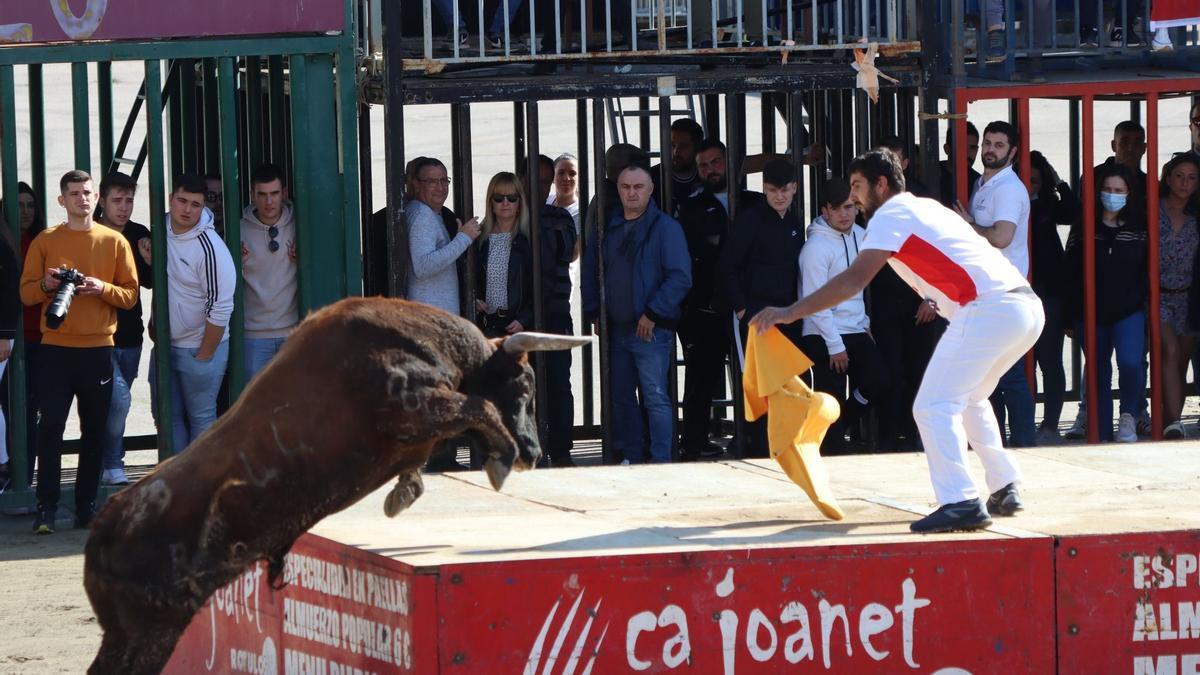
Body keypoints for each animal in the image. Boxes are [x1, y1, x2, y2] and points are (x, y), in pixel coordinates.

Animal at [84, 296, 590, 667]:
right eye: (525, 385)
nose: (532, 453)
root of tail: (106, 523)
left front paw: (404, 493)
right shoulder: (419, 407)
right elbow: (478, 407)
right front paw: (499, 460)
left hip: (127, 631)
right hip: (153, 629)